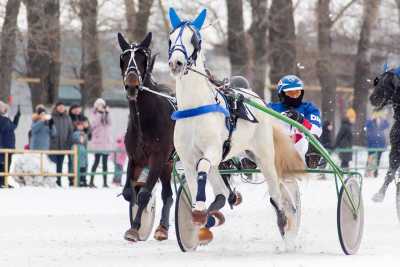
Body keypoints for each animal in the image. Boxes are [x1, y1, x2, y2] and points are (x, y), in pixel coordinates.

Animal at [118, 31, 176, 243]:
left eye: (142, 58)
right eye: (124, 57)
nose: (132, 85)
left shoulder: (157, 157)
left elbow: (144, 194)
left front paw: (135, 228)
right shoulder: (135, 157)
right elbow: (130, 192)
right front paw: (137, 221)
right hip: (167, 164)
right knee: (167, 194)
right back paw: (162, 228)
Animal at [168, 8, 304, 247]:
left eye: (195, 40)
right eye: (170, 37)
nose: (176, 62)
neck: (196, 107)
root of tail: (258, 99)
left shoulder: (212, 150)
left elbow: (203, 167)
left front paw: (201, 209)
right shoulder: (187, 157)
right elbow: (194, 182)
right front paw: (200, 214)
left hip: (264, 157)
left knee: (276, 193)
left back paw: (285, 225)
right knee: (223, 193)